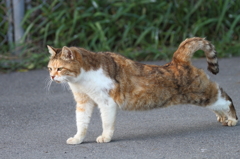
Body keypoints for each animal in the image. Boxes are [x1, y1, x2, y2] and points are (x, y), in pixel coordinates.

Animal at [47, 37, 238, 144]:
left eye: (60, 69)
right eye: (50, 68)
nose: (52, 77)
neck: (81, 80)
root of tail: (178, 61)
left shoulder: (106, 103)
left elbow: (106, 123)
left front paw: (105, 137)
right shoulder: (83, 103)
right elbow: (81, 124)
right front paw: (78, 139)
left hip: (203, 94)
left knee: (226, 98)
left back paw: (232, 119)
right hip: (202, 97)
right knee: (218, 104)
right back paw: (222, 117)